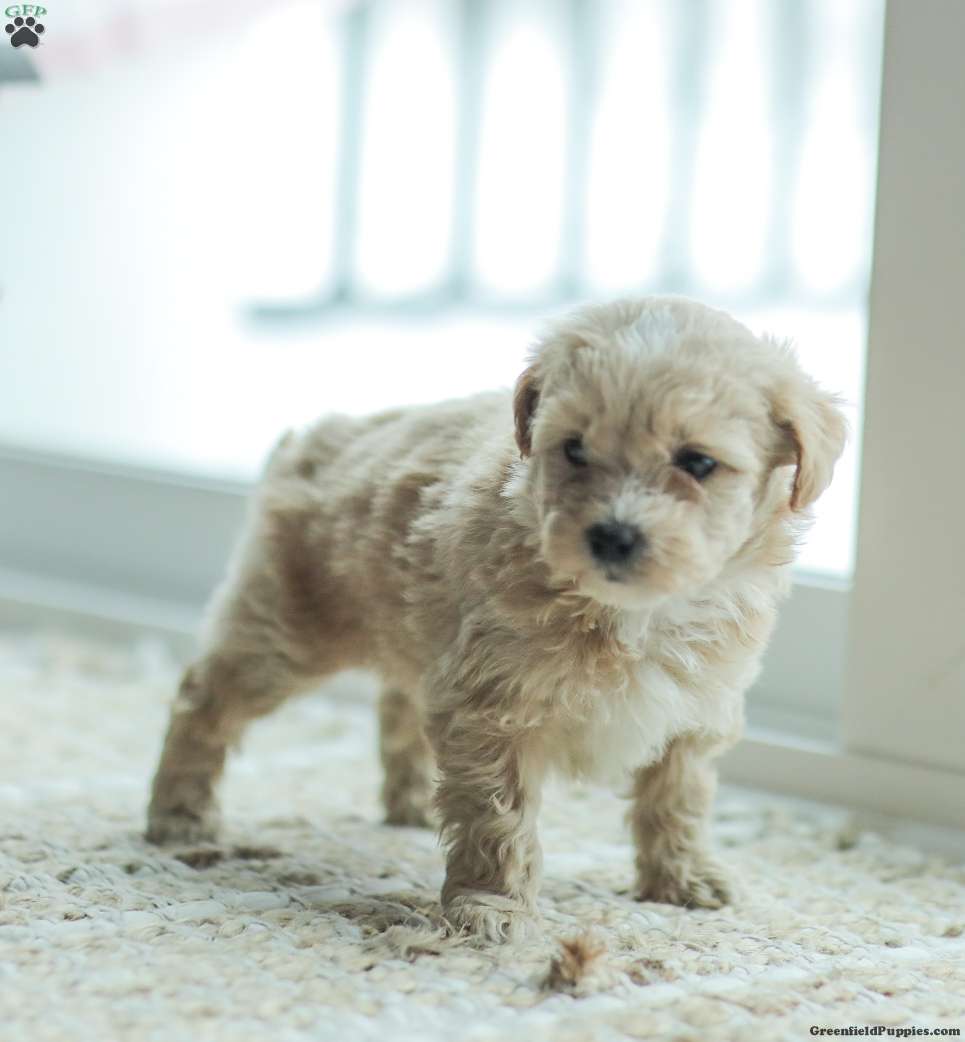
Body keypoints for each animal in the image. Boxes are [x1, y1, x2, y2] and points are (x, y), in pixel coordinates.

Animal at [146, 296, 847, 941]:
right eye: (574, 449)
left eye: (697, 462)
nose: (612, 535)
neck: (636, 614)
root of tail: (312, 435)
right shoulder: (493, 708)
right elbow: (498, 818)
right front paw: (491, 908)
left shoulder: (696, 710)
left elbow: (677, 798)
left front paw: (681, 877)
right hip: (285, 630)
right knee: (203, 701)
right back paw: (178, 819)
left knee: (398, 705)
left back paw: (411, 805)